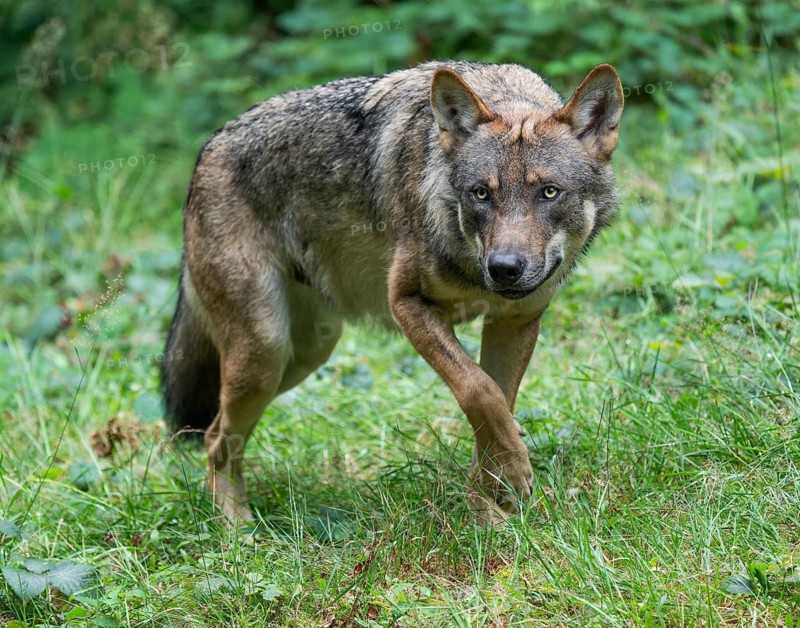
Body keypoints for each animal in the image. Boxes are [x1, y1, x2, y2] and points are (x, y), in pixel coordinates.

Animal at [162, 60, 623, 524]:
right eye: (481, 194)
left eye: (549, 192)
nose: (504, 269)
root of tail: (207, 149)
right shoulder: (407, 305)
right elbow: (480, 392)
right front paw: (512, 477)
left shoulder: (515, 322)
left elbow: (497, 409)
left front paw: (492, 512)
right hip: (264, 352)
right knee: (215, 438)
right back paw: (237, 529)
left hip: (305, 353)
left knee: (221, 433)